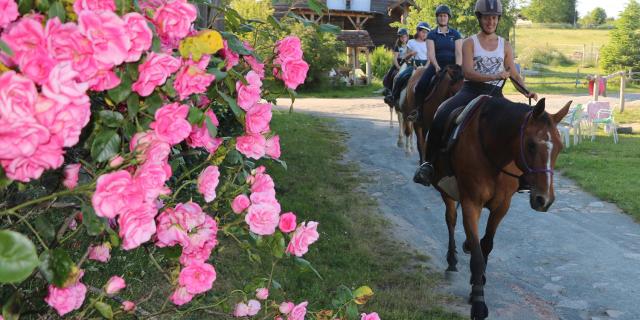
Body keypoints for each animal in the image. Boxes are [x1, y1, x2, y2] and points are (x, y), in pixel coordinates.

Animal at [432, 97, 572, 320]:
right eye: (531, 145)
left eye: (559, 147)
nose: (544, 200)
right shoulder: (471, 203)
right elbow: (478, 256)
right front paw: (478, 302)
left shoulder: (502, 207)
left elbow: (486, 246)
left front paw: (477, 281)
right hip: (446, 191)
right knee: (451, 219)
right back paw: (452, 261)